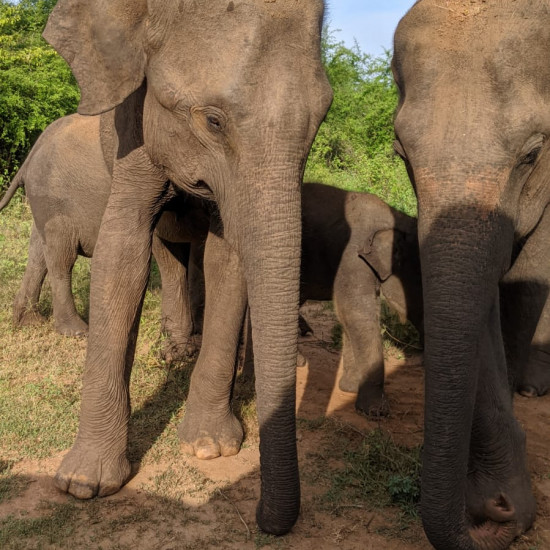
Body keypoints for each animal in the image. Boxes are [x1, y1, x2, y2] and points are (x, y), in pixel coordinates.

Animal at [0, 115, 209, 358]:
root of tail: (33, 152)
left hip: (44, 201)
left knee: (38, 252)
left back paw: (28, 321)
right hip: (55, 199)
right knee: (62, 257)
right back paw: (76, 331)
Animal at [41, 0, 334, 536]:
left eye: (320, 119)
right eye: (213, 121)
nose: (264, 522)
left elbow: (227, 257)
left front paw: (209, 447)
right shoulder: (132, 123)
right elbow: (123, 251)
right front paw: (83, 484)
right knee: (166, 248)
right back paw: (176, 350)